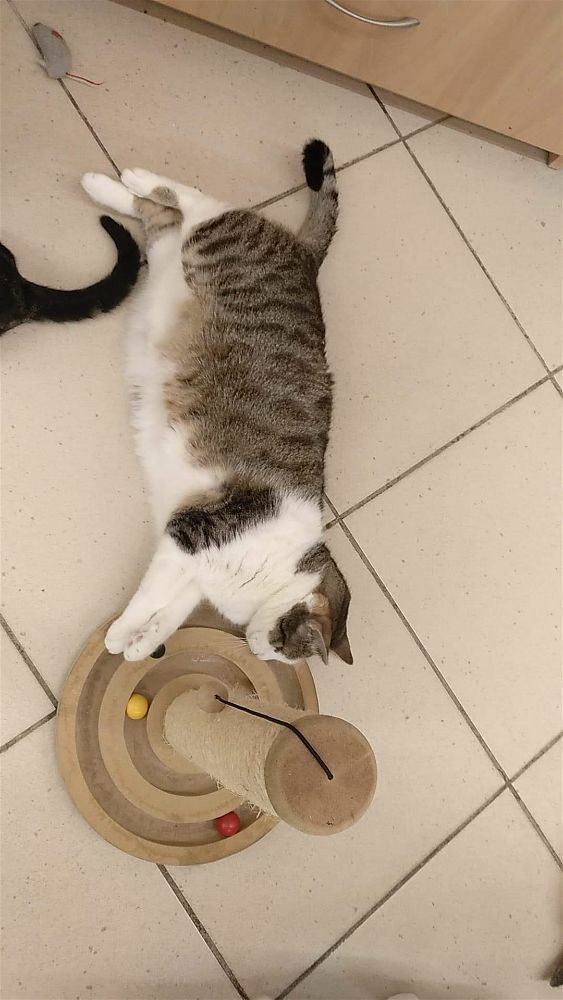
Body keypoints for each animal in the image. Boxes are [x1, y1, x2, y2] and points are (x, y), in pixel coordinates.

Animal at [80, 139, 353, 667]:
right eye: (286, 645)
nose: (260, 653)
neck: (280, 569)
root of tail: (307, 260)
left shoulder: (193, 558)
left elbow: (171, 607)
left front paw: (138, 643)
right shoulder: (191, 533)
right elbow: (149, 593)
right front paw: (120, 631)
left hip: (170, 251)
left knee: (158, 217)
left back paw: (107, 188)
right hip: (211, 239)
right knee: (195, 201)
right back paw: (125, 177)